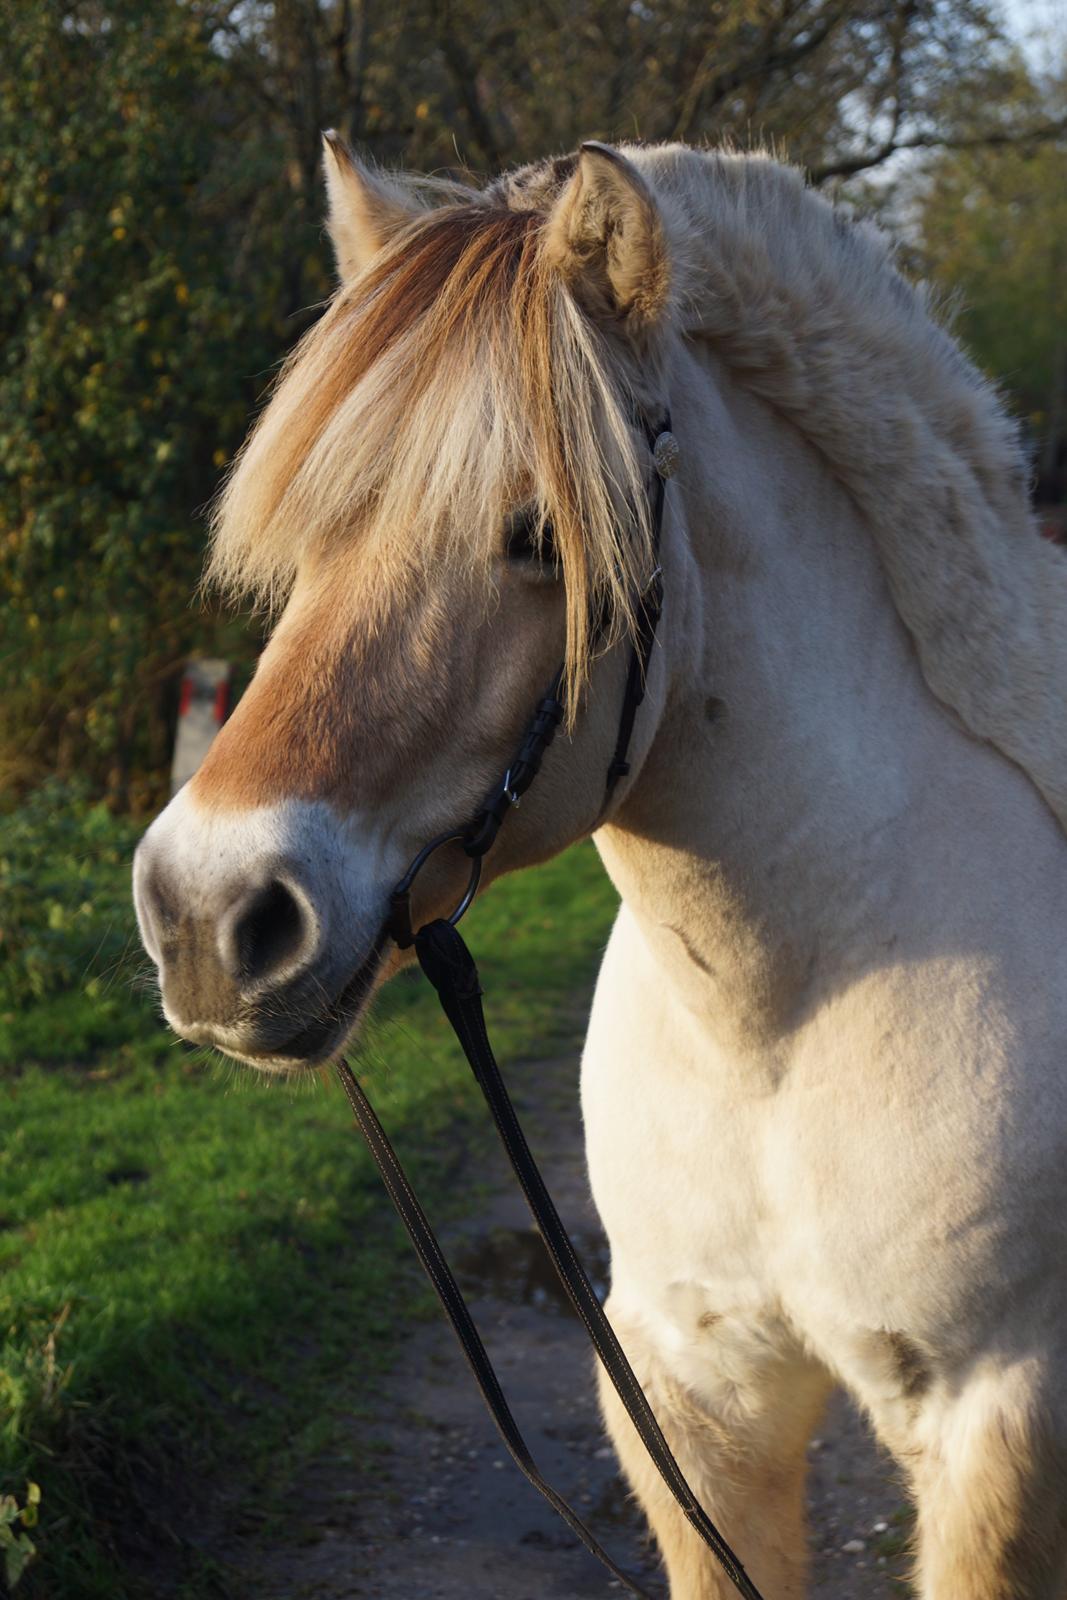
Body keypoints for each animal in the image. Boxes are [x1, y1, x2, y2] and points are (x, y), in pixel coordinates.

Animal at [133, 140, 1067, 1600]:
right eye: (313, 527)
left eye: (536, 535)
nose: (203, 915)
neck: (785, 1018)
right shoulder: (695, 1398)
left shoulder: (1000, 1429)